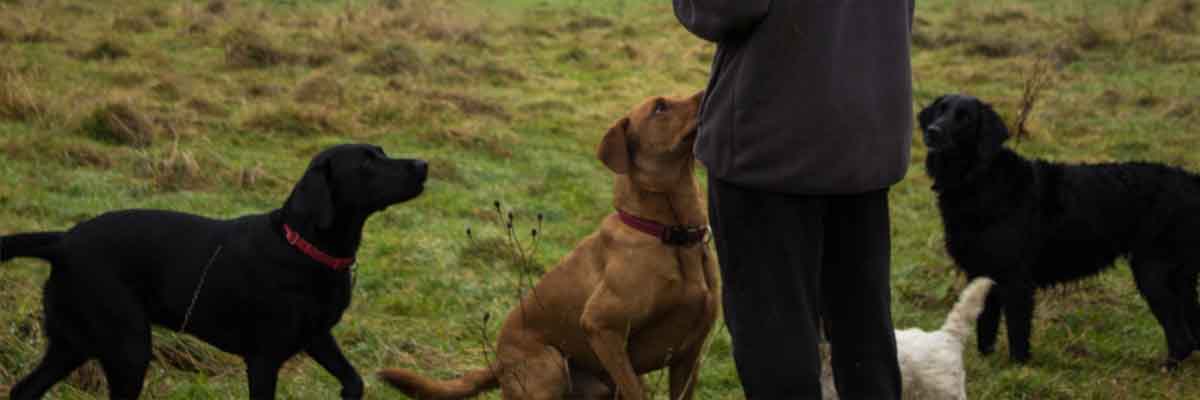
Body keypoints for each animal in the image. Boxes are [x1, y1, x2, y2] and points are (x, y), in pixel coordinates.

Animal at [0, 144, 429, 398]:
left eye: (381, 152)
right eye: (367, 162)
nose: (423, 164)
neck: (302, 246)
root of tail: (61, 241)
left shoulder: (317, 336)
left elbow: (353, 379)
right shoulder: (263, 358)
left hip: (72, 343)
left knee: (24, 390)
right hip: (128, 346)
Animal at [916, 94, 1200, 367]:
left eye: (964, 118)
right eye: (941, 109)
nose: (932, 131)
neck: (979, 179)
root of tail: (1191, 181)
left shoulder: (1017, 278)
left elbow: (1017, 330)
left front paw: (1019, 367)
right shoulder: (981, 272)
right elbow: (985, 326)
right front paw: (986, 363)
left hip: (1153, 271)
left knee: (1182, 338)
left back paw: (1167, 366)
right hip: (1180, 277)